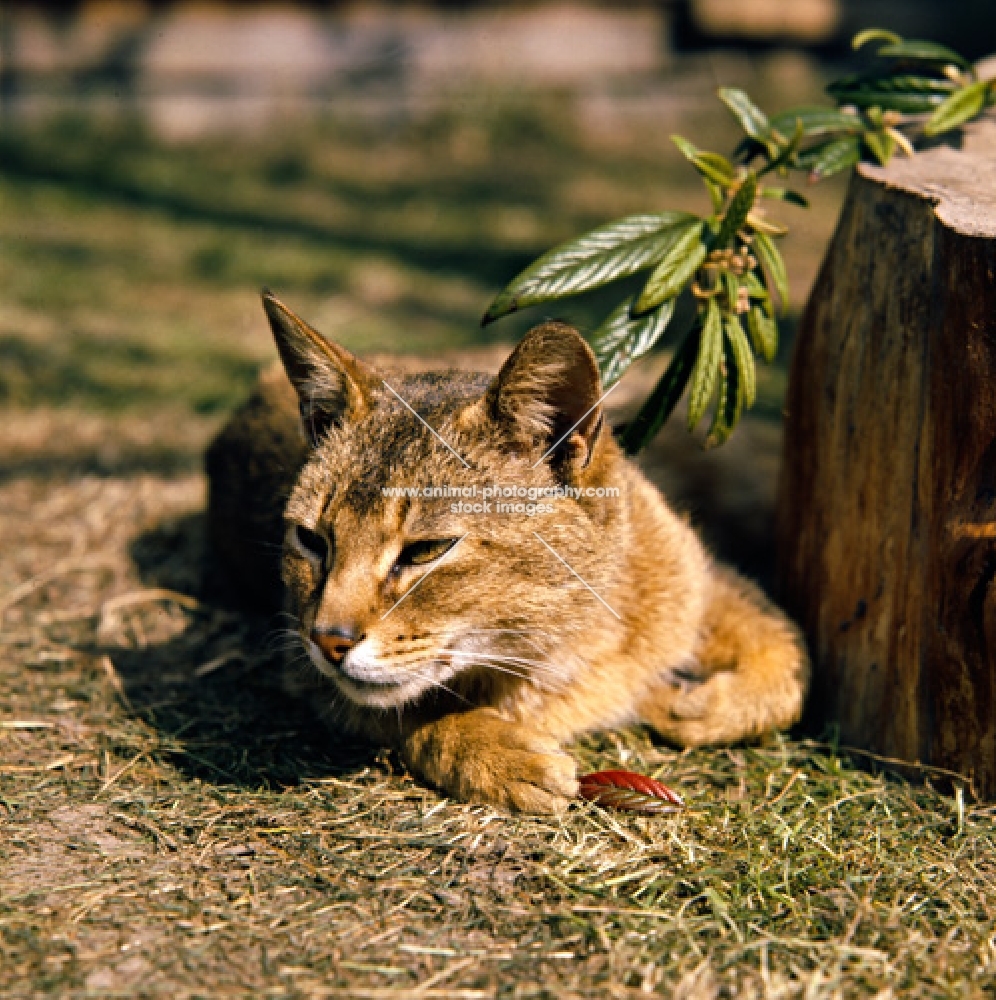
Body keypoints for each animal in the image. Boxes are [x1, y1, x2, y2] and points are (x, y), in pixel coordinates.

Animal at [204, 290, 808, 812]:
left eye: (427, 550)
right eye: (312, 540)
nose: (328, 641)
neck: (564, 640)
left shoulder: (700, 571)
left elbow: (787, 654)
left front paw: (699, 706)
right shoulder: (298, 660)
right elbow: (402, 708)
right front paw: (493, 754)